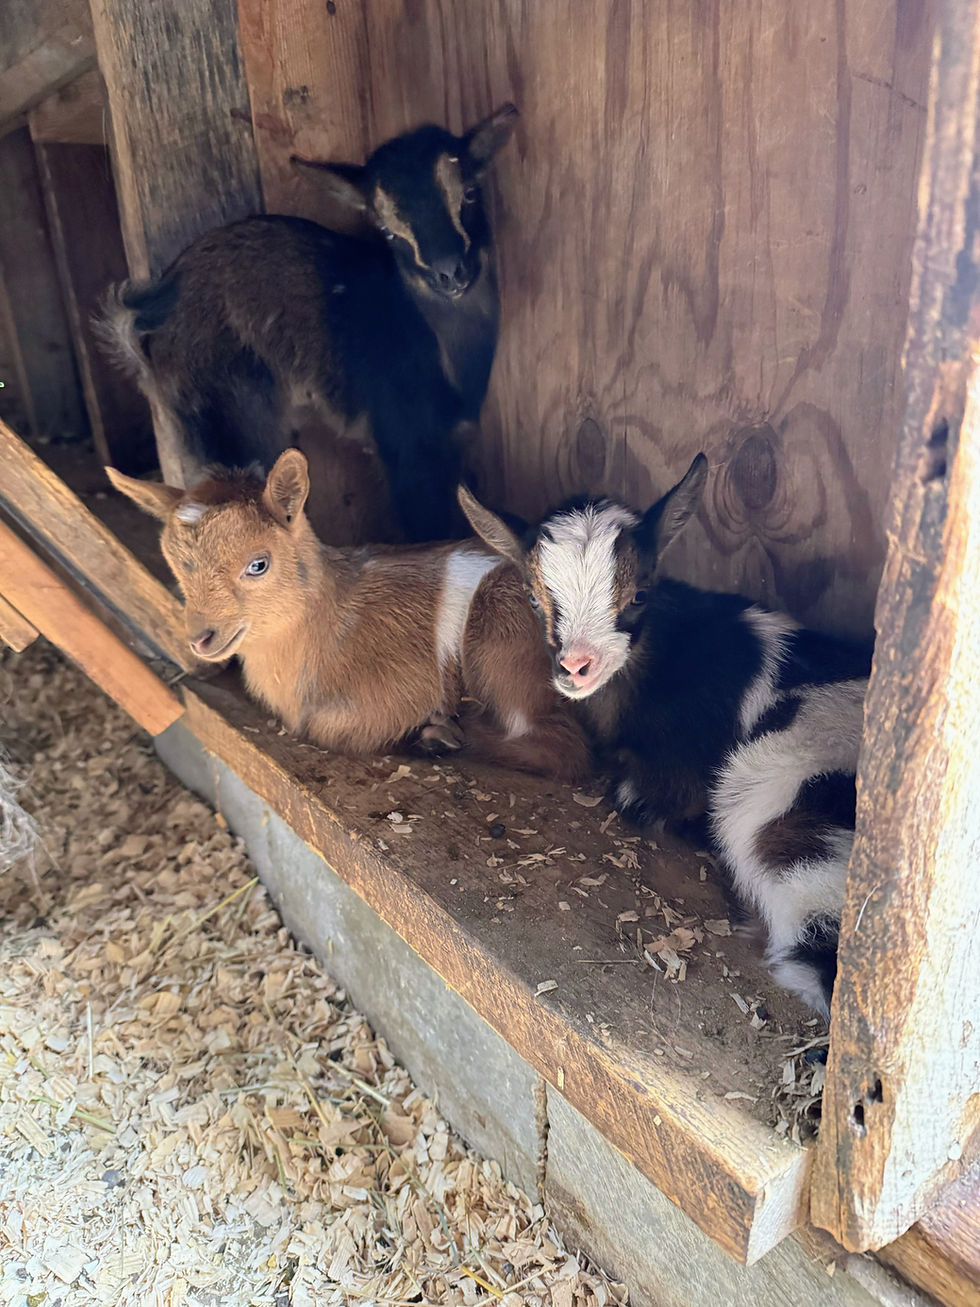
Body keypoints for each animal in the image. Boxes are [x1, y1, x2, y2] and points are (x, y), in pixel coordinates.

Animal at [99, 106, 518, 547]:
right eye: (386, 230)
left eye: (469, 193)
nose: (449, 272)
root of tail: (147, 324)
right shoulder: (405, 443)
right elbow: (425, 529)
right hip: (231, 415)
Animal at [107, 450, 588, 784]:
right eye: (175, 563)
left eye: (258, 564)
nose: (202, 637)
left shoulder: (399, 689)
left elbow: (328, 727)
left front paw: (427, 731)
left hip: (499, 640)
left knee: (559, 747)